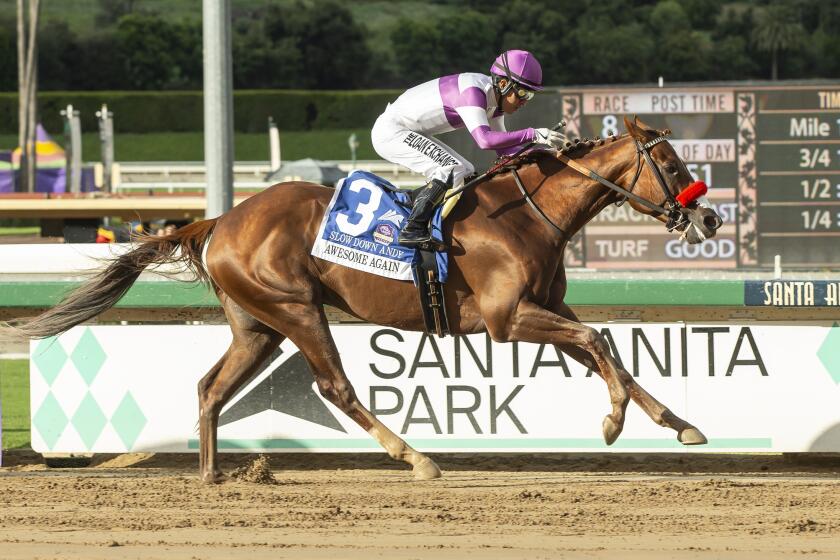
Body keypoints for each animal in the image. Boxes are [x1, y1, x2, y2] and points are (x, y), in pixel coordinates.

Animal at [9, 117, 720, 482]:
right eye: (673, 166)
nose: (709, 219)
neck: (528, 213)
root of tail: (221, 219)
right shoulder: (506, 319)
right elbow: (599, 344)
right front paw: (614, 423)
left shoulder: (549, 310)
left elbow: (608, 352)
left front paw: (679, 424)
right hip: (296, 309)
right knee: (336, 387)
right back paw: (416, 458)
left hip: (258, 325)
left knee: (212, 386)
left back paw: (212, 476)